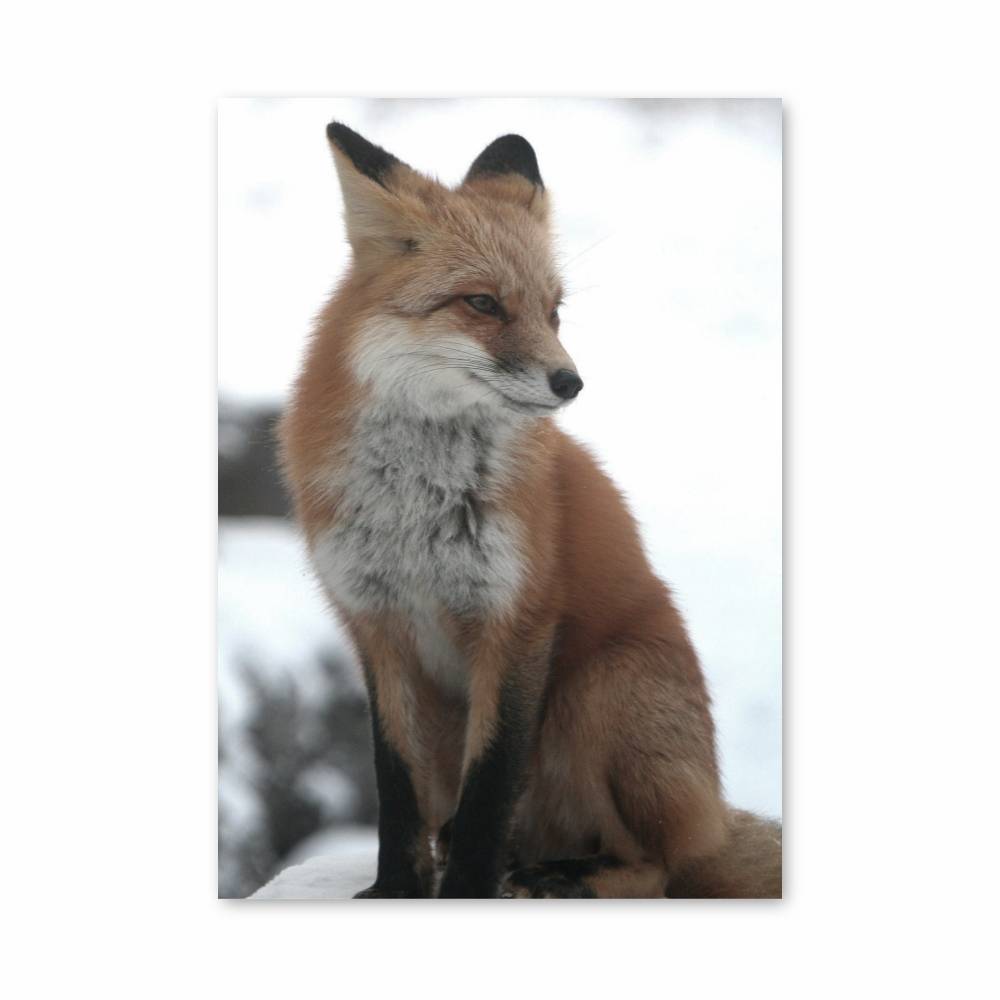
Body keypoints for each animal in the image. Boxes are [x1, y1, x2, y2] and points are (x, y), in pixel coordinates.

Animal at [278, 122, 781, 898]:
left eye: (555, 311)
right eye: (483, 303)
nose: (571, 382)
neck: (416, 510)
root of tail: (714, 817)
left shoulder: (516, 622)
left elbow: (489, 789)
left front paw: (464, 891)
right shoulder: (377, 626)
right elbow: (396, 788)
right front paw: (396, 891)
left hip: (597, 689)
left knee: (657, 868)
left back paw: (561, 874)